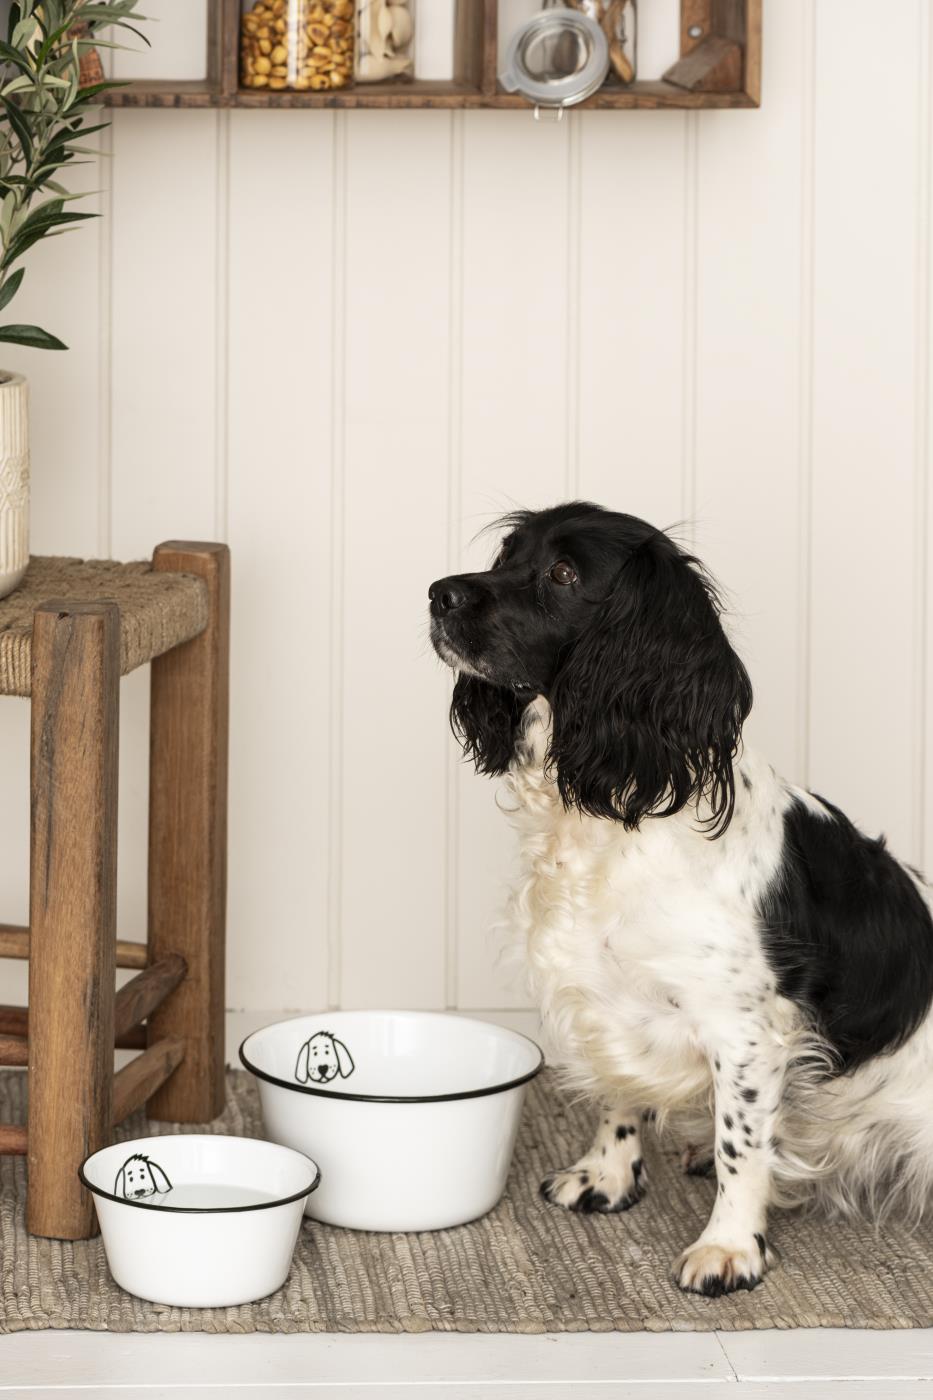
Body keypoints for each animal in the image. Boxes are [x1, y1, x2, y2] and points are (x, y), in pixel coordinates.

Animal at [425, 498, 930, 1293]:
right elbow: (618, 1092)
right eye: (506, 555)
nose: (438, 593)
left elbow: (740, 1145)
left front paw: (729, 1247)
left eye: (562, 574)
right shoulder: (607, 998)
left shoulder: (746, 1028)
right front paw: (605, 1177)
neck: (612, 812)